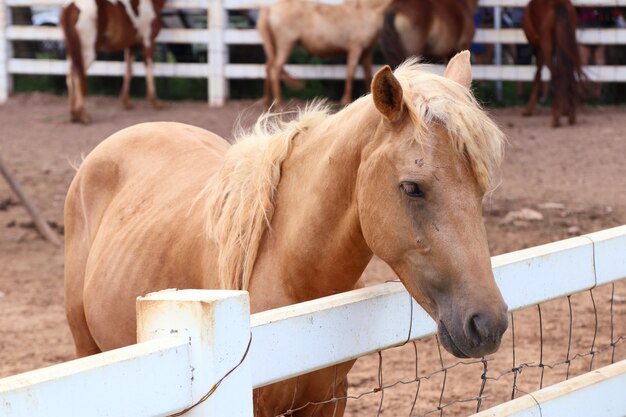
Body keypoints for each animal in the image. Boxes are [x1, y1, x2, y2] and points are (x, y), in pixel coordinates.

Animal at [256, 0, 388, 106]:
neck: (366, 10)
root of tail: (269, 9)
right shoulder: (356, 48)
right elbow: (351, 73)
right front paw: (346, 100)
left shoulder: (367, 51)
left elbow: (368, 73)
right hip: (285, 45)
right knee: (275, 71)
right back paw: (279, 105)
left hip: (273, 48)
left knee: (268, 69)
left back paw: (268, 103)